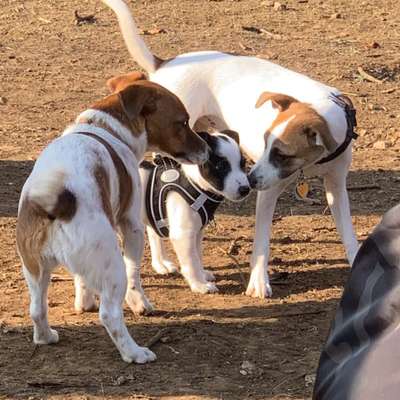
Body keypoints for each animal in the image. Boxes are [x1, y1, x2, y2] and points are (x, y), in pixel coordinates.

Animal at [16, 78, 208, 362]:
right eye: (182, 122)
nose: (207, 150)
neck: (105, 128)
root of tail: (58, 200)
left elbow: (82, 280)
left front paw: (83, 302)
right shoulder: (132, 226)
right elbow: (135, 274)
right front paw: (140, 304)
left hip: (35, 269)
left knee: (37, 309)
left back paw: (46, 337)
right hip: (112, 265)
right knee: (110, 314)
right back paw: (134, 352)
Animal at [139, 131, 248, 294]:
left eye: (243, 164)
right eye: (221, 166)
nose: (245, 189)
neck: (194, 184)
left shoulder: (197, 233)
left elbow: (198, 256)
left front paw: (202, 275)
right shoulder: (183, 234)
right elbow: (191, 262)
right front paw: (199, 284)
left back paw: (161, 265)